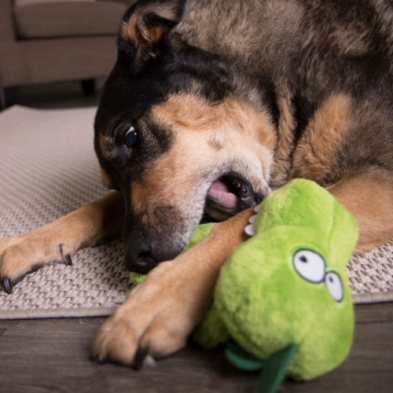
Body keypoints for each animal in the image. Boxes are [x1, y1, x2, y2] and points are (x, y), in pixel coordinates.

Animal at [0, 0, 392, 368]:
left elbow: (242, 227)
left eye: (130, 136)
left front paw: (156, 300)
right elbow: (99, 207)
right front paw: (21, 245)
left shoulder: (378, 179)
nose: (135, 259)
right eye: (112, 185)